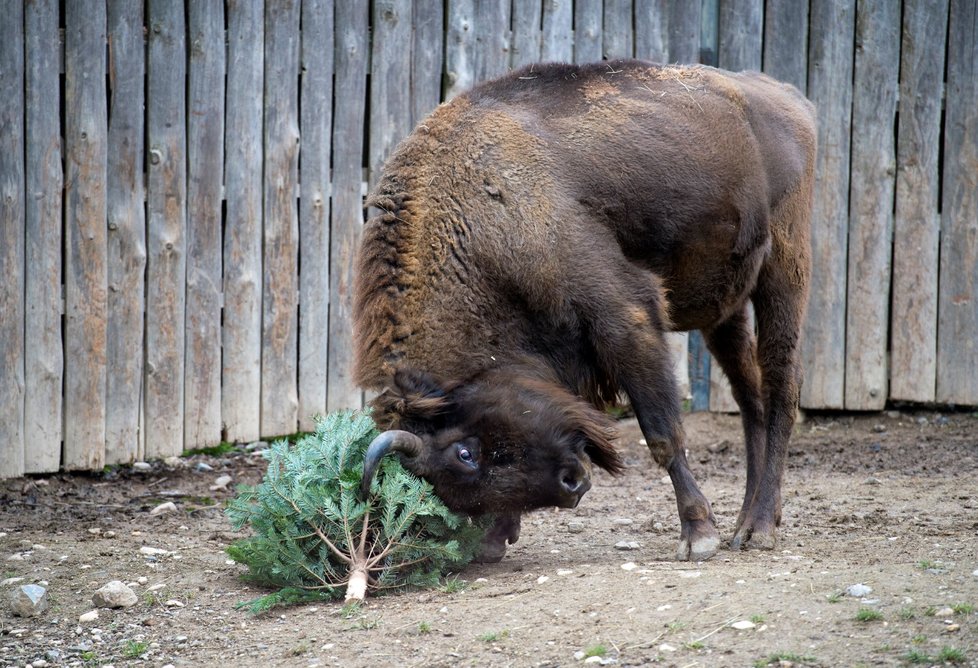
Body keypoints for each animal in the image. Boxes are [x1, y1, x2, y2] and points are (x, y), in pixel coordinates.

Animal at [354, 58, 812, 564]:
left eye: (464, 454)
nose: (572, 484)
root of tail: (785, 96)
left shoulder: (624, 314)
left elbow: (661, 433)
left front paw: (698, 536)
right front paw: (495, 538)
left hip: (784, 268)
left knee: (781, 385)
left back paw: (759, 528)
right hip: (725, 310)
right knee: (749, 395)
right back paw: (747, 524)